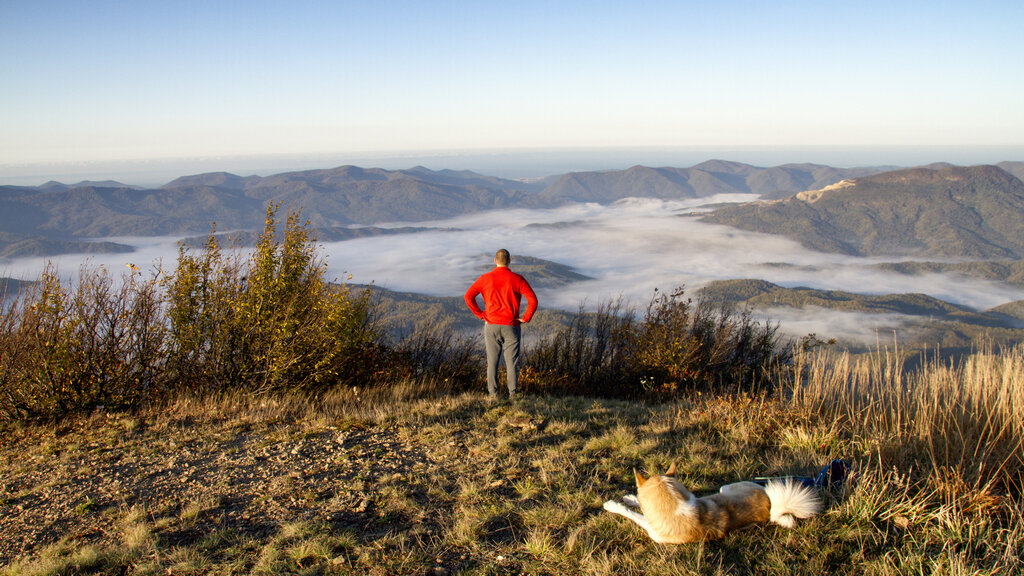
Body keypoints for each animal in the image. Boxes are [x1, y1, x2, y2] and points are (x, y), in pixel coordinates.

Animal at [602, 459, 819, 541]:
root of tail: (771, 506)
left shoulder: (653, 529)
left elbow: (634, 515)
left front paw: (614, 505)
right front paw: (630, 498)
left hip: (728, 487)